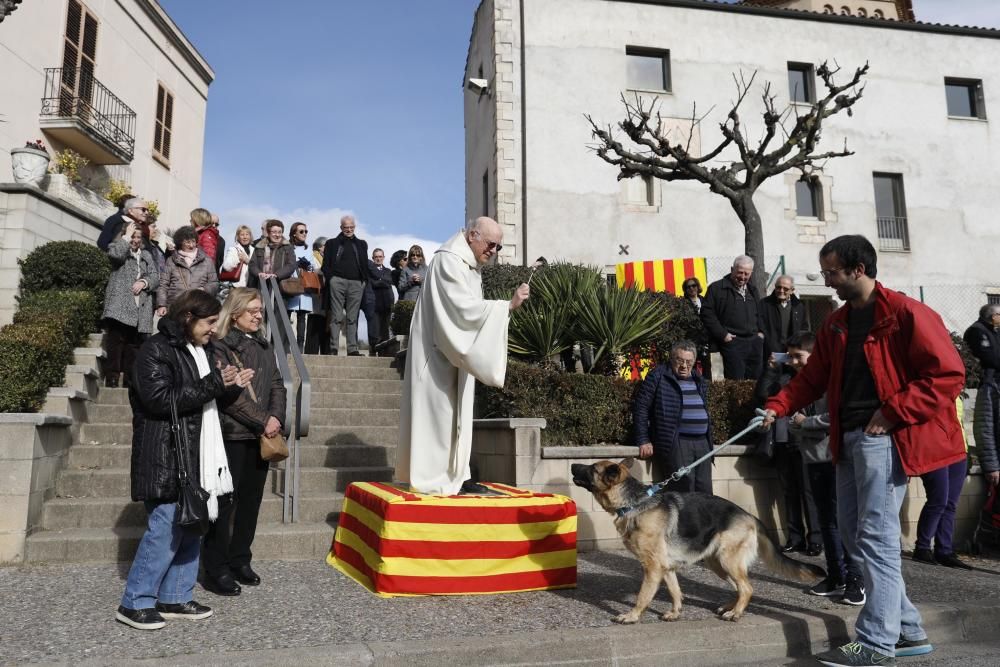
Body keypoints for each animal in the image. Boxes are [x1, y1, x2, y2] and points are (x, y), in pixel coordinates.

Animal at [576, 462, 824, 624]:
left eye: (592, 468)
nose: (573, 466)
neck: (635, 503)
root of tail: (750, 516)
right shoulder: (666, 568)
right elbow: (676, 591)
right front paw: (675, 613)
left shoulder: (652, 568)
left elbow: (643, 596)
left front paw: (632, 616)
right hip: (717, 563)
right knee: (740, 587)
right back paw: (729, 606)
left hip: (727, 560)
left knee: (747, 588)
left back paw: (735, 613)